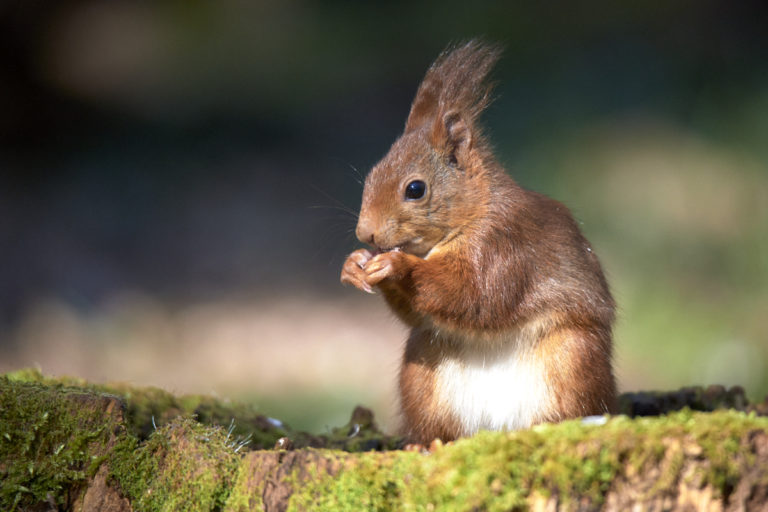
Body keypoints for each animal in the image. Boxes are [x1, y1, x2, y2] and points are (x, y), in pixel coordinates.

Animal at [340, 42, 616, 446]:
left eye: (415, 189)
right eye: (371, 174)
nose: (366, 234)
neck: (473, 213)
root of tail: (497, 428)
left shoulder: (505, 245)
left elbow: (477, 294)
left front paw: (397, 266)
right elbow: (420, 314)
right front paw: (355, 263)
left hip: (572, 360)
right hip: (423, 372)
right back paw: (430, 443)